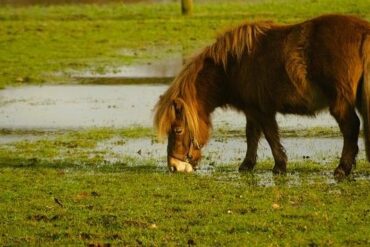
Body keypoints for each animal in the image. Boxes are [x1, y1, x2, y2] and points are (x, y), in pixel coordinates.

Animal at [153, 14, 370, 178]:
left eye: (178, 130)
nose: (174, 167)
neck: (234, 64)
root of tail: (363, 33)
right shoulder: (252, 111)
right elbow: (252, 135)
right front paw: (247, 165)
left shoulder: (263, 110)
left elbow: (270, 136)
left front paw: (279, 166)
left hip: (340, 103)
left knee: (351, 128)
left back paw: (342, 169)